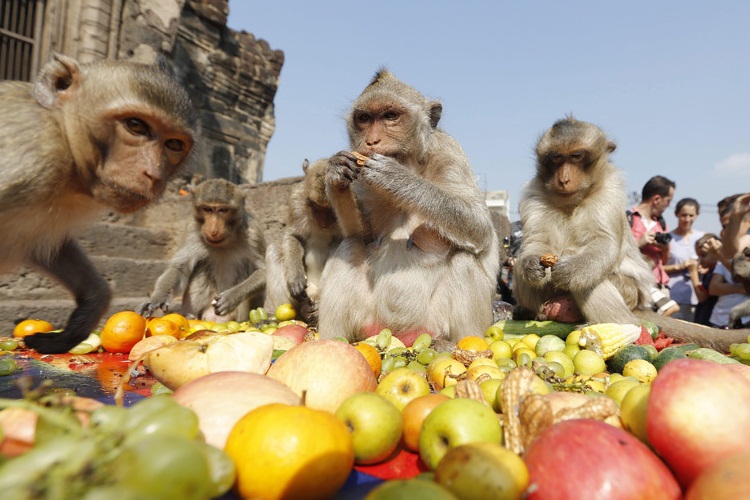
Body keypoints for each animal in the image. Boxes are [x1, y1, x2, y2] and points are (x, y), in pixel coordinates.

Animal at [0, 54, 195, 354]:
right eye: (136, 126)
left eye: (174, 144)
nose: (153, 174)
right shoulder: (33, 157)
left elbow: (45, 245)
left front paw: (90, 307)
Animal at [137, 178, 267, 322]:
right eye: (207, 209)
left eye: (223, 210)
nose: (213, 229)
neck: (227, 239)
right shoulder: (191, 228)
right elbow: (180, 268)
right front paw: (158, 298)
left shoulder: (254, 233)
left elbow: (263, 272)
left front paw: (231, 297)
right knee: (201, 269)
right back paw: (190, 316)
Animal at [265, 158, 342, 324]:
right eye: (315, 207)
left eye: (330, 210)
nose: (323, 223)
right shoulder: (296, 201)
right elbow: (293, 236)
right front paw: (295, 278)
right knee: (274, 249)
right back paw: (300, 312)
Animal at [316, 69, 500, 347]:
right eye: (364, 118)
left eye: (390, 116)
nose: (372, 141)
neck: (411, 162)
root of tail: (402, 335)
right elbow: (362, 235)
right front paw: (336, 173)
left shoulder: (449, 152)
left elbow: (478, 226)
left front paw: (396, 178)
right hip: (368, 322)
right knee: (350, 246)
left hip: (434, 322)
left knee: (465, 258)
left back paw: (455, 344)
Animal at [513, 116, 750, 352]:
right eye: (556, 158)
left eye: (576, 156)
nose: (563, 179)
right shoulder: (534, 194)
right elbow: (535, 241)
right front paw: (532, 266)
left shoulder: (610, 191)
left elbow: (604, 242)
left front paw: (570, 269)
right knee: (519, 270)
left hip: (630, 294)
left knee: (590, 275)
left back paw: (620, 324)